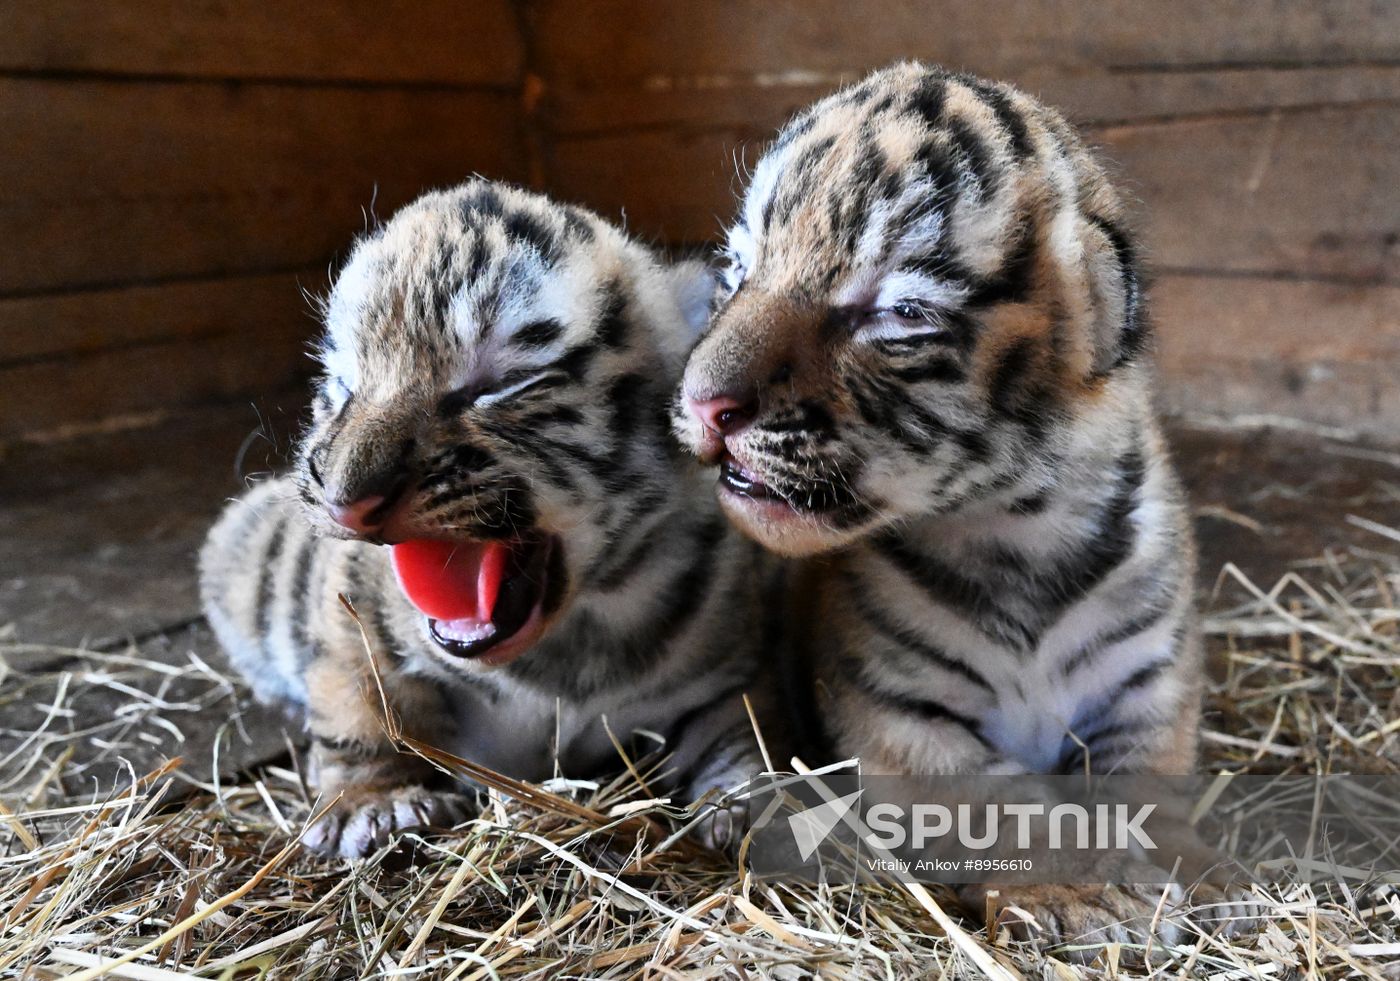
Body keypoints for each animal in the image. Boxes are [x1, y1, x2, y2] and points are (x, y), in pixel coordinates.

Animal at [200, 180, 776, 859]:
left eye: (503, 383)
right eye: (342, 386)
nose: (345, 501)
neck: (573, 638)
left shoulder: (722, 678)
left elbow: (739, 736)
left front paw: (753, 808)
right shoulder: (350, 623)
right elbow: (359, 704)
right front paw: (373, 803)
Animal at [673, 62, 1230, 947]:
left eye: (898, 312)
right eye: (738, 270)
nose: (701, 405)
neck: (1017, 532)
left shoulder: (1152, 682)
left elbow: (1150, 780)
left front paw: (1199, 871)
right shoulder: (899, 715)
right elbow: (1013, 805)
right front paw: (1090, 893)